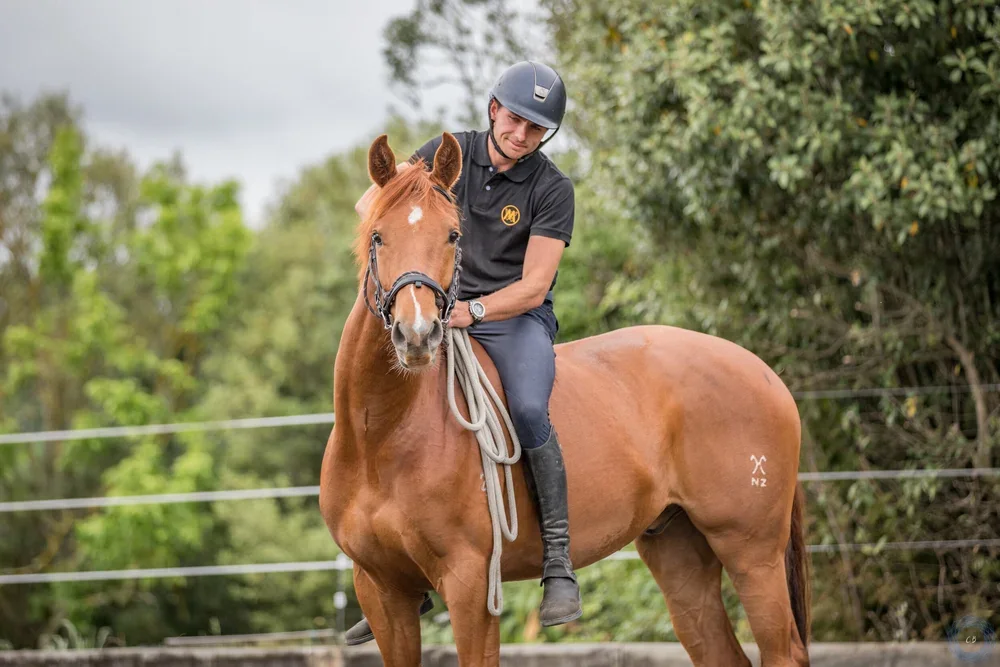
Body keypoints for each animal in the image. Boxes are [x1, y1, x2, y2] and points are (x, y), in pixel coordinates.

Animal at [319, 132, 811, 667]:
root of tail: (764, 374)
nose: (417, 336)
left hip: (751, 553)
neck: (383, 439)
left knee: (783, 650)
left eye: (452, 236)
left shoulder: (471, 586)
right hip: (679, 553)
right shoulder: (382, 591)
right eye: (377, 236)